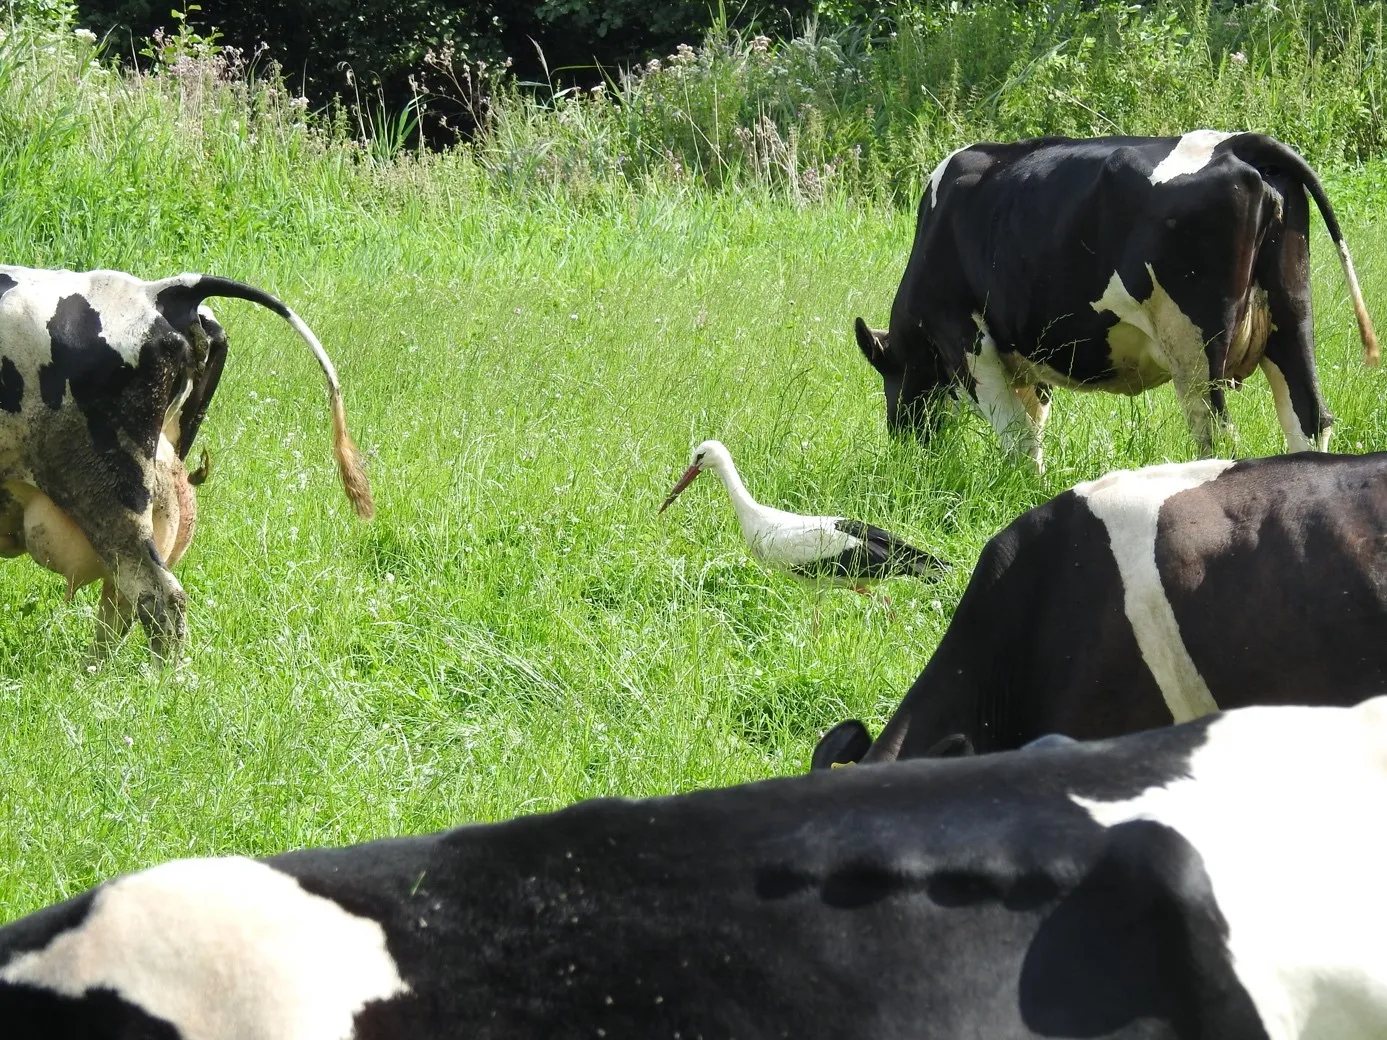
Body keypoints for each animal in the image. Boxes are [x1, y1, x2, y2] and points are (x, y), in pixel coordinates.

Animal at [854, 131, 1375, 468]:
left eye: (890, 380)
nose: (904, 447)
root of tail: (1236, 142)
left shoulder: (964, 336)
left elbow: (1014, 430)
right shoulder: (1028, 351)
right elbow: (1033, 424)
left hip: (1194, 345)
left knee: (1217, 432)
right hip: (1291, 314)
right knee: (1308, 418)